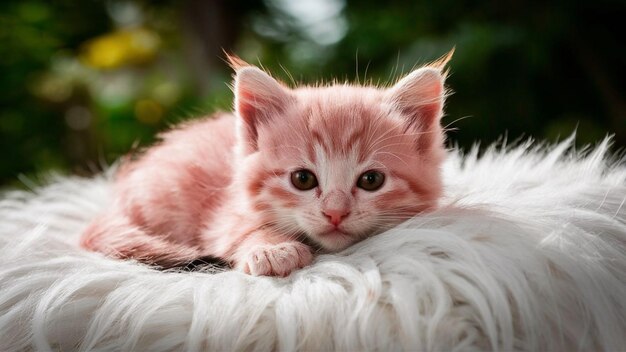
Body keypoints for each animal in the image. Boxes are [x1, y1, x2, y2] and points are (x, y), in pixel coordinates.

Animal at [79, 53, 448, 278]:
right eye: (302, 179)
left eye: (371, 180)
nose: (335, 214)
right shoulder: (225, 212)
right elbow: (240, 228)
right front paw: (274, 249)